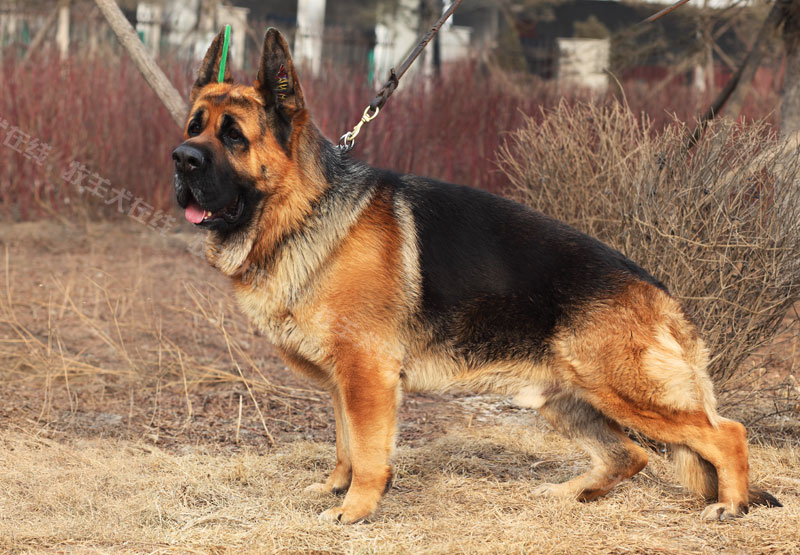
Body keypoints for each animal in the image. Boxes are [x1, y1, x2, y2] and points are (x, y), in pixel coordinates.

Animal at [173, 29, 780, 524]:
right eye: (193, 128)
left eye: (234, 136)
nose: (181, 160)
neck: (304, 209)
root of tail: (662, 296)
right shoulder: (345, 381)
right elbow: (344, 445)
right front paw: (335, 489)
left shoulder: (368, 375)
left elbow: (367, 453)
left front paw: (357, 509)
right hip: (563, 399)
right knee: (628, 454)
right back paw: (569, 494)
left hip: (625, 392)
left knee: (727, 434)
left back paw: (731, 506)